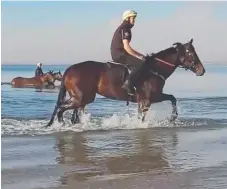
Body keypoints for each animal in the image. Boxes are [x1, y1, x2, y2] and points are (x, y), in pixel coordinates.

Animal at [46, 38, 206, 127]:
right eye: (191, 53)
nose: (202, 70)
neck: (154, 69)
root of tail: (69, 69)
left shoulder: (151, 98)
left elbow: (172, 98)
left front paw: (172, 118)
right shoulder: (148, 100)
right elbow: (143, 117)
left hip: (80, 99)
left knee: (66, 109)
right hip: (82, 98)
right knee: (61, 109)